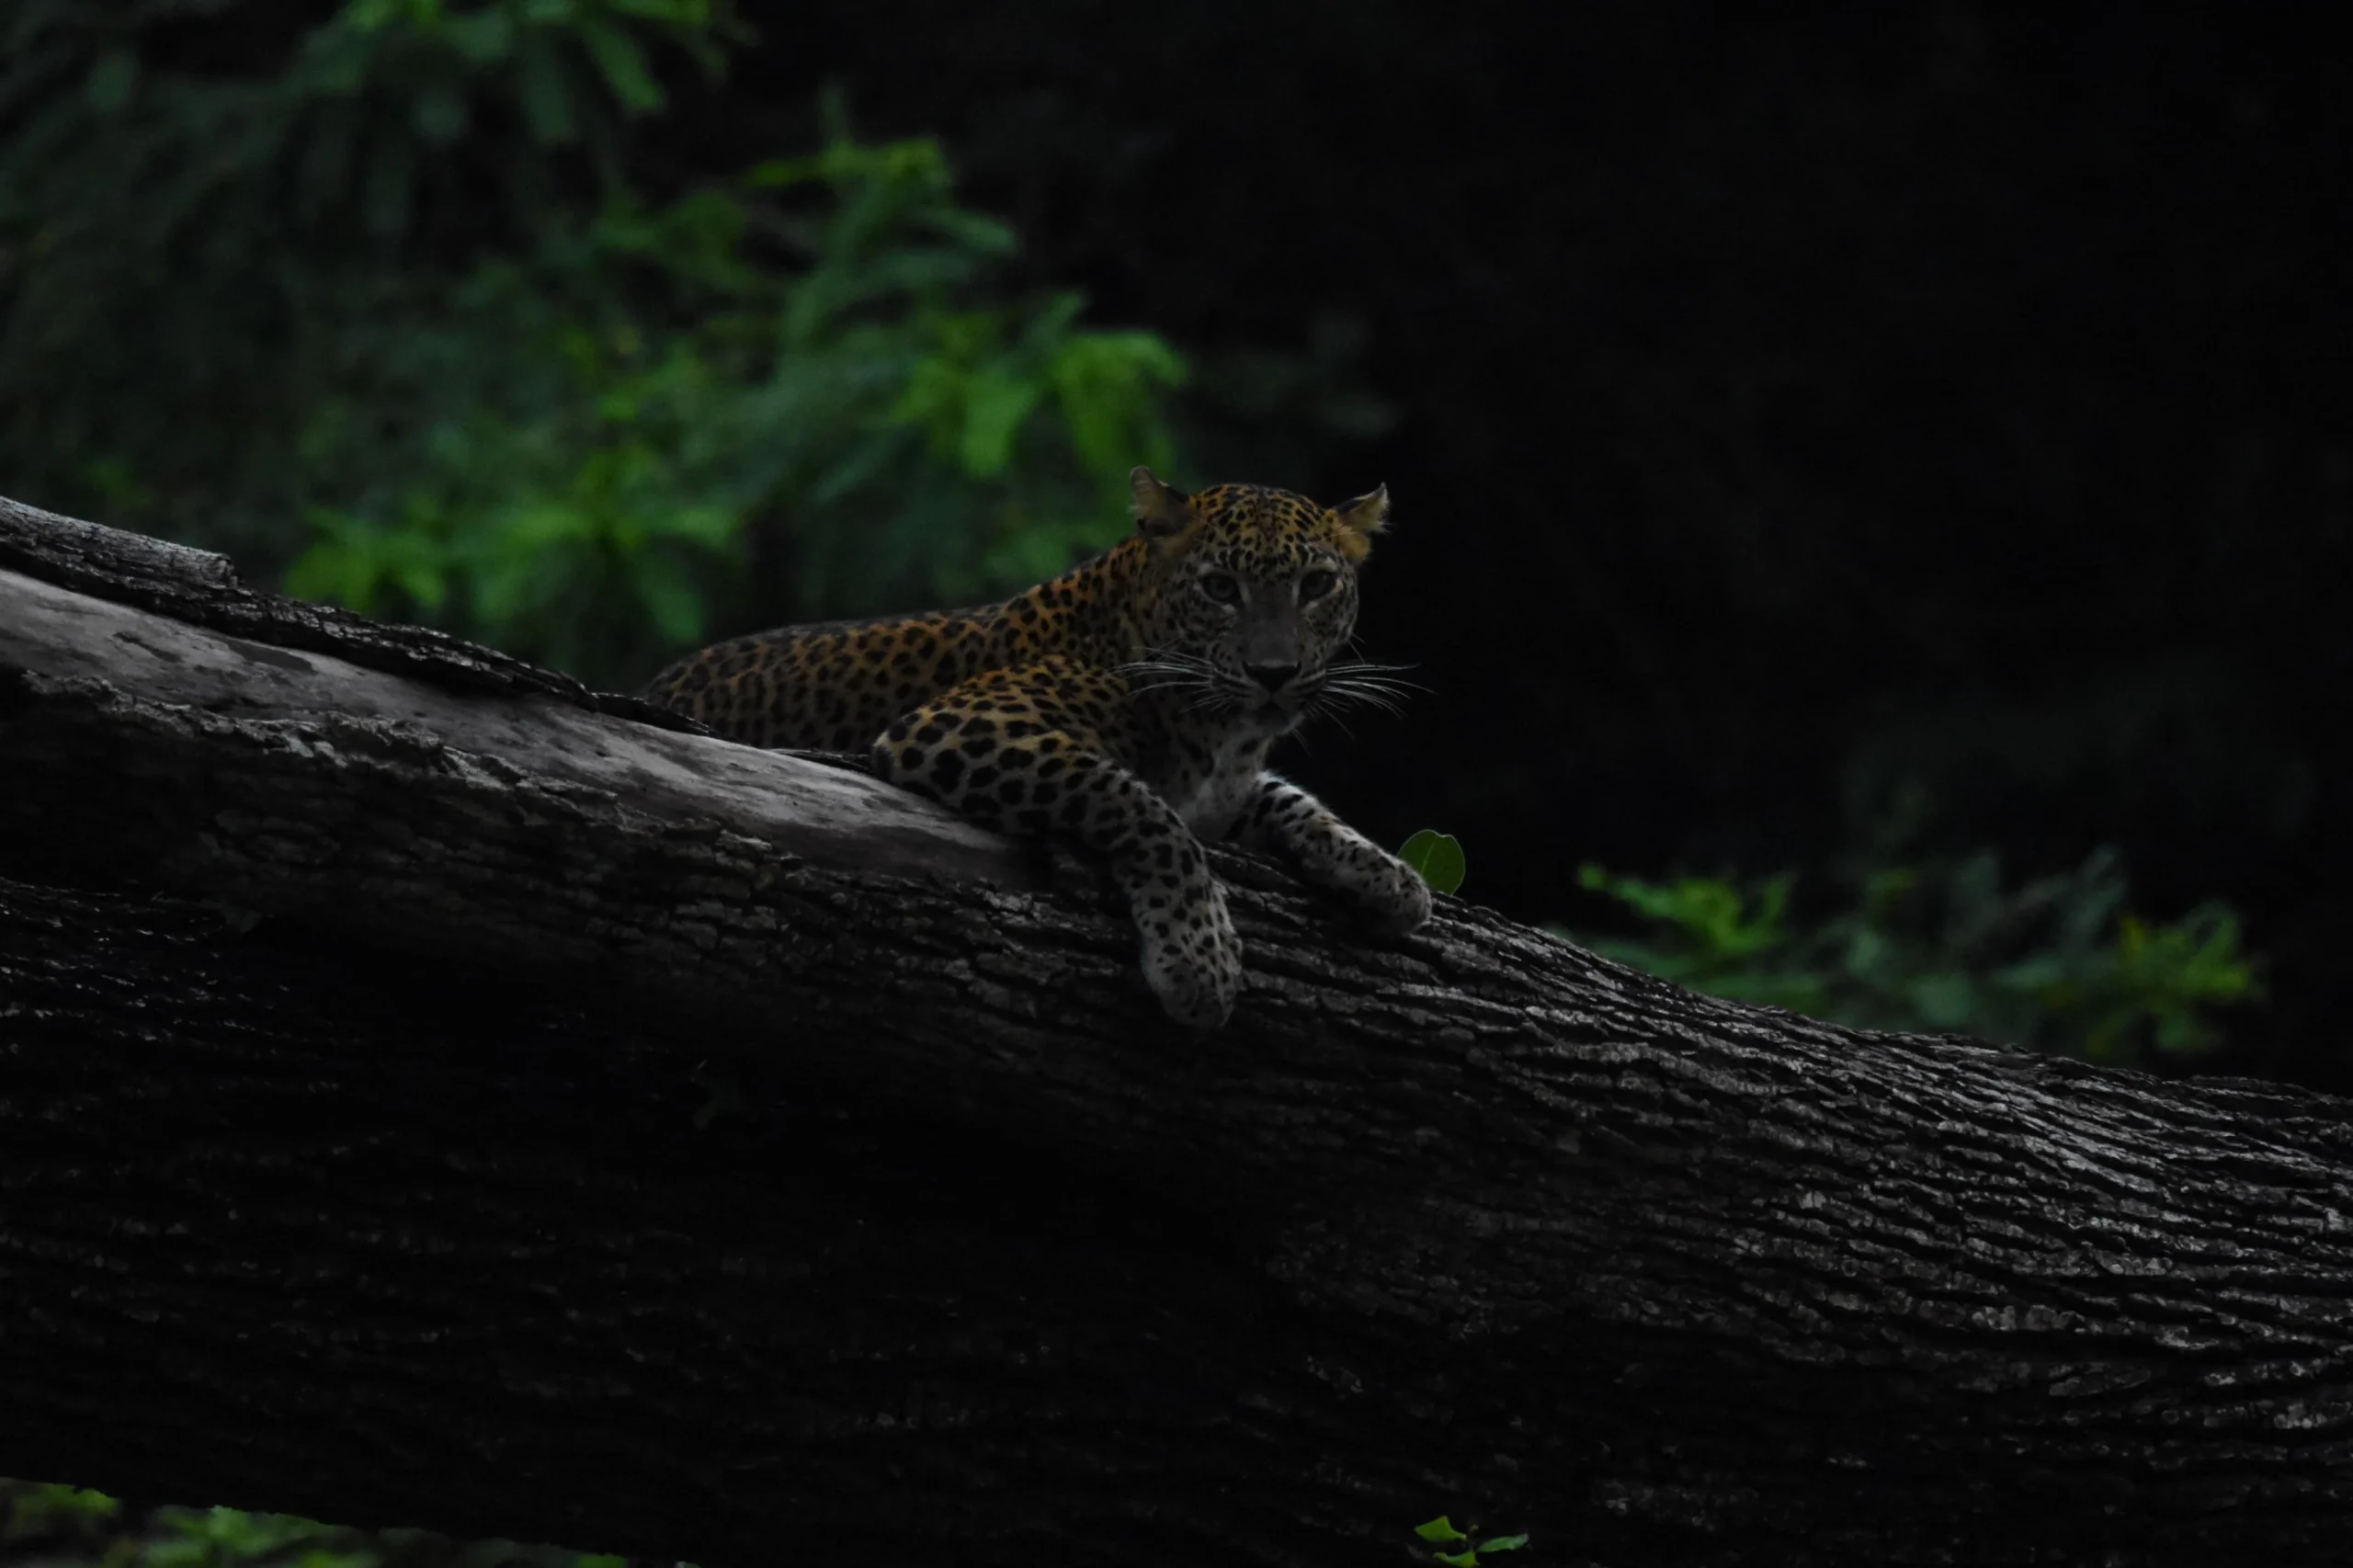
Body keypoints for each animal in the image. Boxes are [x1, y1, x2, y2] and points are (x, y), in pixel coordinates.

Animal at [641, 466, 1433, 1028]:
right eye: (1218, 588)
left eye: (1317, 585)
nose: (1275, 672)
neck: (1218, 732)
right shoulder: (961, 725)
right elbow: (1141, 806)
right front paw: (1197, 958)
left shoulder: (1224, 790)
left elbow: (1291, 800)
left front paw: (1387, 875)